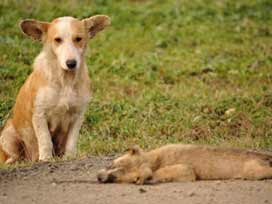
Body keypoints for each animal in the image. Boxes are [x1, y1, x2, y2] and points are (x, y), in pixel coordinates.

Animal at [0, 14, 110, 164]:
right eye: (57, 40)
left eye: (78, 39)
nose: (71, 63)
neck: (65, 81)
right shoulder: (39, 115)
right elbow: (46, 140)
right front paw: (46, 159)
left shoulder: (77, 115)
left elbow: (71, 142)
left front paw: (69, 157)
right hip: (8, 135)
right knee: (12, 156)